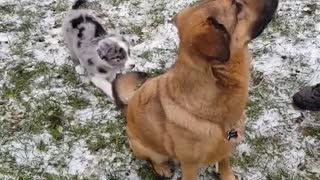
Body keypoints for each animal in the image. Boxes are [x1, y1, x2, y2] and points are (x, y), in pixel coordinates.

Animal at [112, 0, 278, 179]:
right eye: (237, 6)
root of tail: (127, 106)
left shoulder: (226, 146)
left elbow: (225, 164)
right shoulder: (189, 164)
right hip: (144, 148)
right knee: (153, 160)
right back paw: (162, 168)